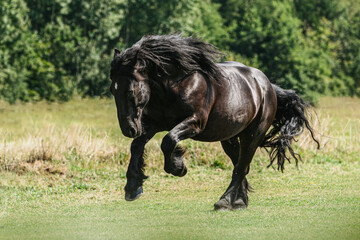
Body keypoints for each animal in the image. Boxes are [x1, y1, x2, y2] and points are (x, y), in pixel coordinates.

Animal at [109, 34, 318, 210]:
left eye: (130, 91)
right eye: (112, 89)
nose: (128, 129)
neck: (175, 86)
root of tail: (267, 86)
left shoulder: (194, 123)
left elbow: (168, 141)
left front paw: (178, 167)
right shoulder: (154, 124)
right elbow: (137, 146)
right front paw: (133, 187)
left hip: (253, 135)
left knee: (241, 167)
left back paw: (225, 202)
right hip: (230, 138)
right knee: (241, 165)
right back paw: (239, 201)